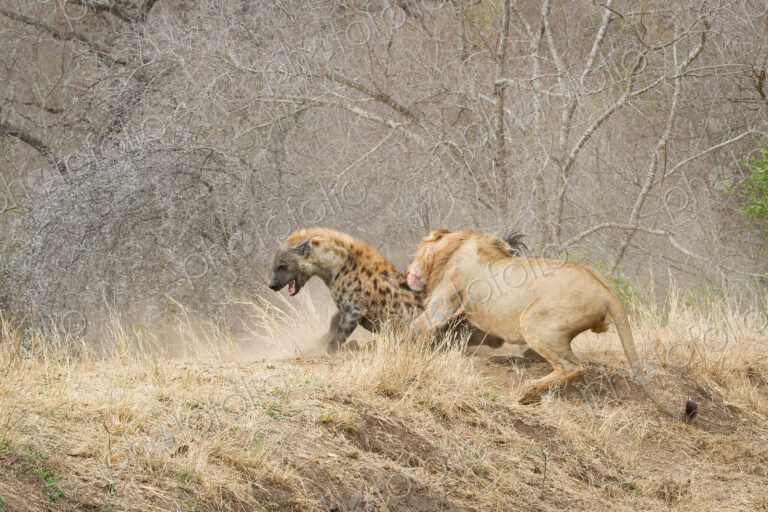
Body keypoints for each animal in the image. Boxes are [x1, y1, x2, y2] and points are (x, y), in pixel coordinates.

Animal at [404, 228, 697, 422]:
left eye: (417, 251)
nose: (407, 272)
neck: (460, 244)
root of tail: (608, 292)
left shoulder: (443, 302)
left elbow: (417, 327)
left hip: (534, 322)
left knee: (573, 367)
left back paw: (528, 392)